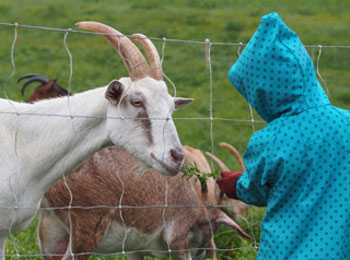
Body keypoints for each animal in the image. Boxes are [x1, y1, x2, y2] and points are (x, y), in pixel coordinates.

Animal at [37, 146, 252, 260]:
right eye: (211, 226)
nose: (203, 252)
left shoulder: (135, 249)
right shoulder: (178, 238)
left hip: (51, 234)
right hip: (86, 233)